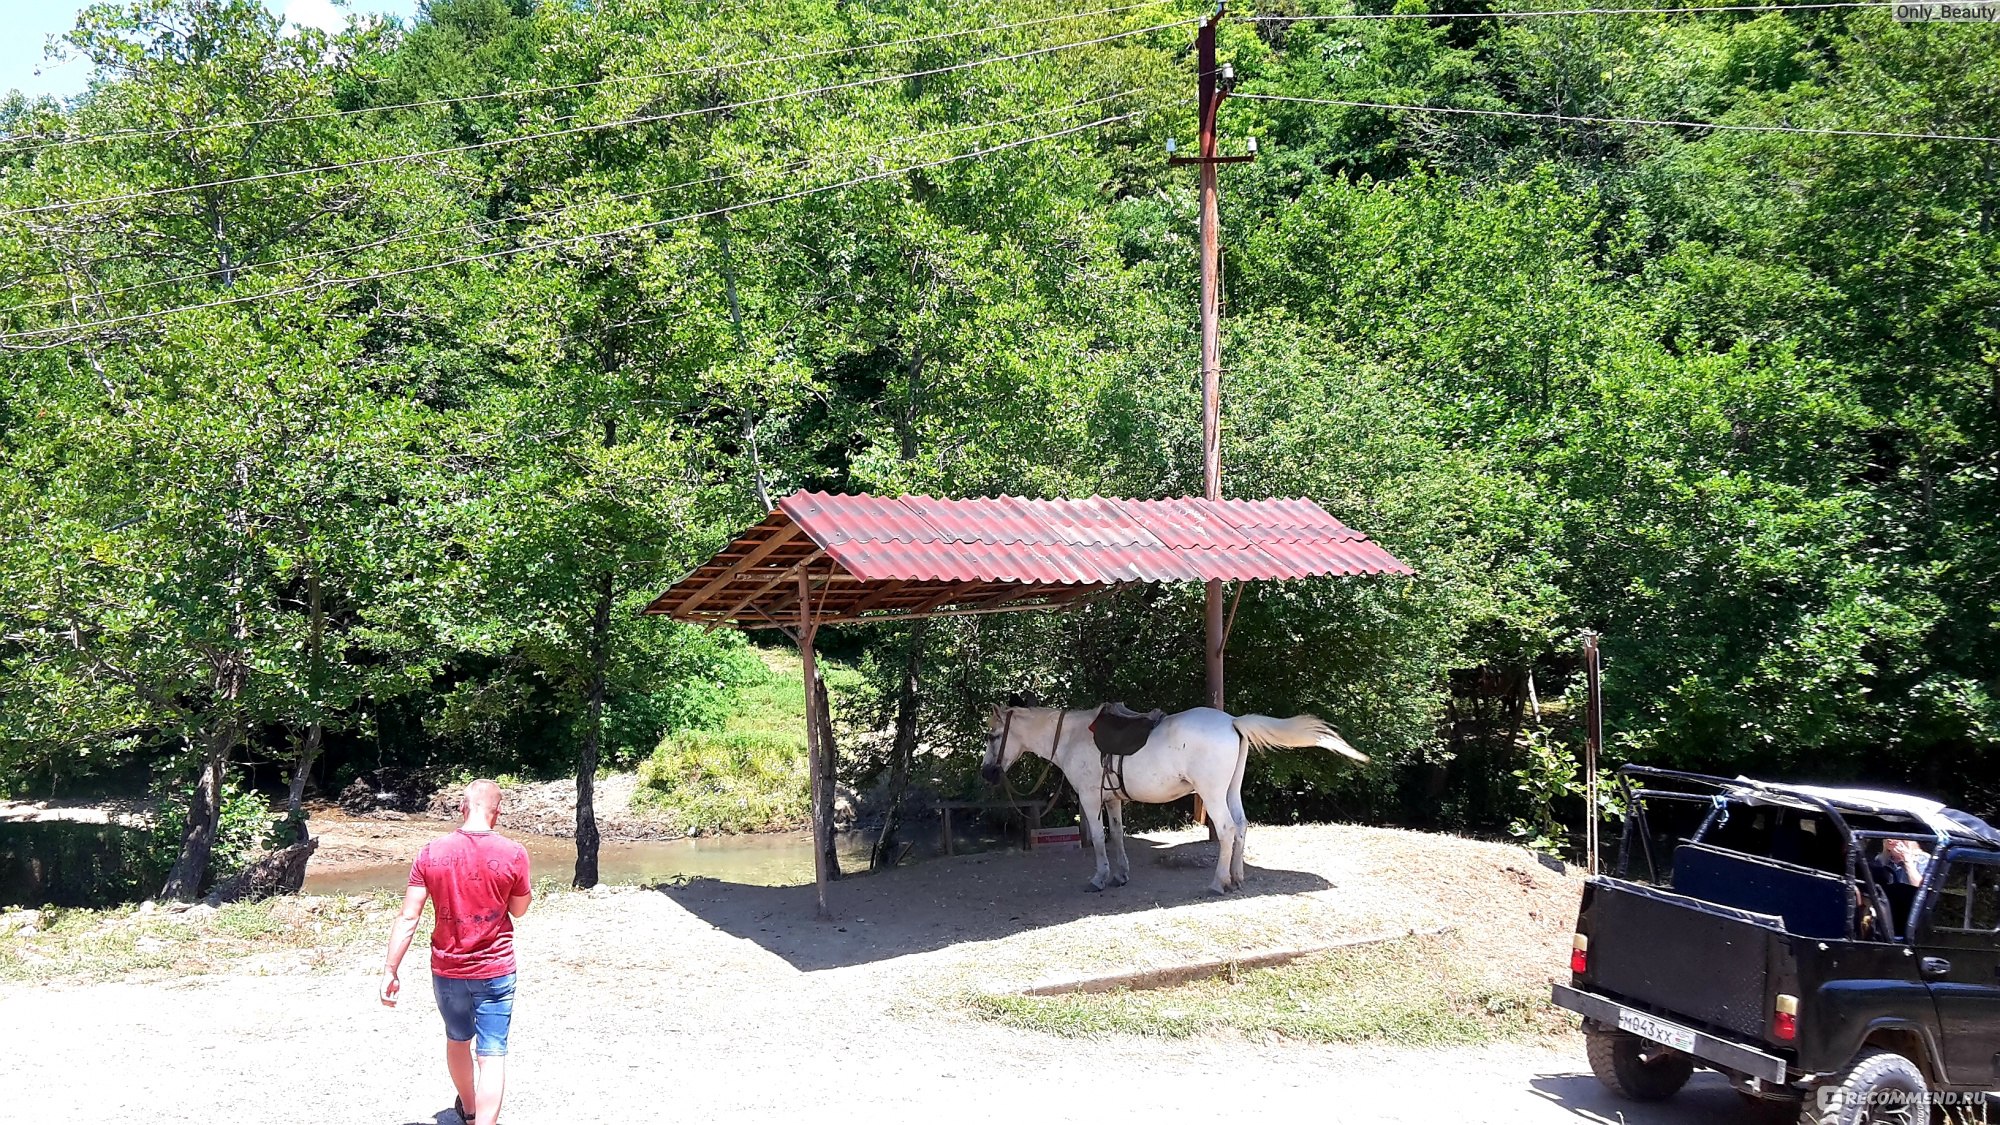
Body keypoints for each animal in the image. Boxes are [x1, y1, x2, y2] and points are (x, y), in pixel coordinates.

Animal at [976, 700, 1368, 892]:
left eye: (993, 736)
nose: (987, 774)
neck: (1074, 737)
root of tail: (1232, 722)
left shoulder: (1089, 798)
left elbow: (1100, 840)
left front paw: (1100, 879)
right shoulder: (1112, 799)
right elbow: (1118, 836)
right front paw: (1120, 876)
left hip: (1212, 793)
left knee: (1227, 829)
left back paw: (1218, 883)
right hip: (1230, 789)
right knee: (1242, 826)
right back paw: (1237, 877)